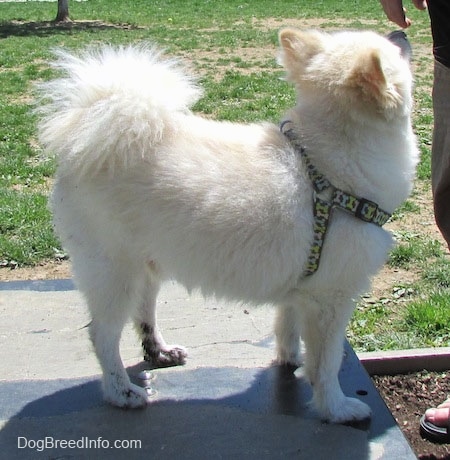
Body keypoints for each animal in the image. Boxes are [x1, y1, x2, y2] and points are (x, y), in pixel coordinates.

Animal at [37, 28, 418, 422]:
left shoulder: (301, 290)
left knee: (144, 315)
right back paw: (121, 392)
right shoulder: (330, 299)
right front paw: (336, 408)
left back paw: (160, 352)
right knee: (102, 335)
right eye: (393, 51)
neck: (327, 170)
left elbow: (287, 329)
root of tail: (86, 139)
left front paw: (289, 360)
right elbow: (325, 364)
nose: (400, 30)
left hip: (148, 265)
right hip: (115, 274)